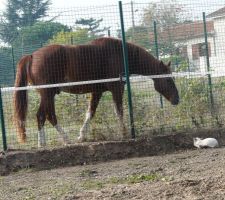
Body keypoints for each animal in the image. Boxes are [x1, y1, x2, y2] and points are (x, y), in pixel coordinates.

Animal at [13, 37, 179, 147]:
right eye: (168, 79)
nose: (177, 99)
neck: (120, 53)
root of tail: (32, 56)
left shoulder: (97, 91)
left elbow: (90, 113)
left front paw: (81, 136)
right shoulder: (117, 88)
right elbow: (119, 111)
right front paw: (124, 133)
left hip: (50, 95)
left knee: (47, 116)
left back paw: (56, 141)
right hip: (47, 94)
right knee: (43, 115)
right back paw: (53, 142)